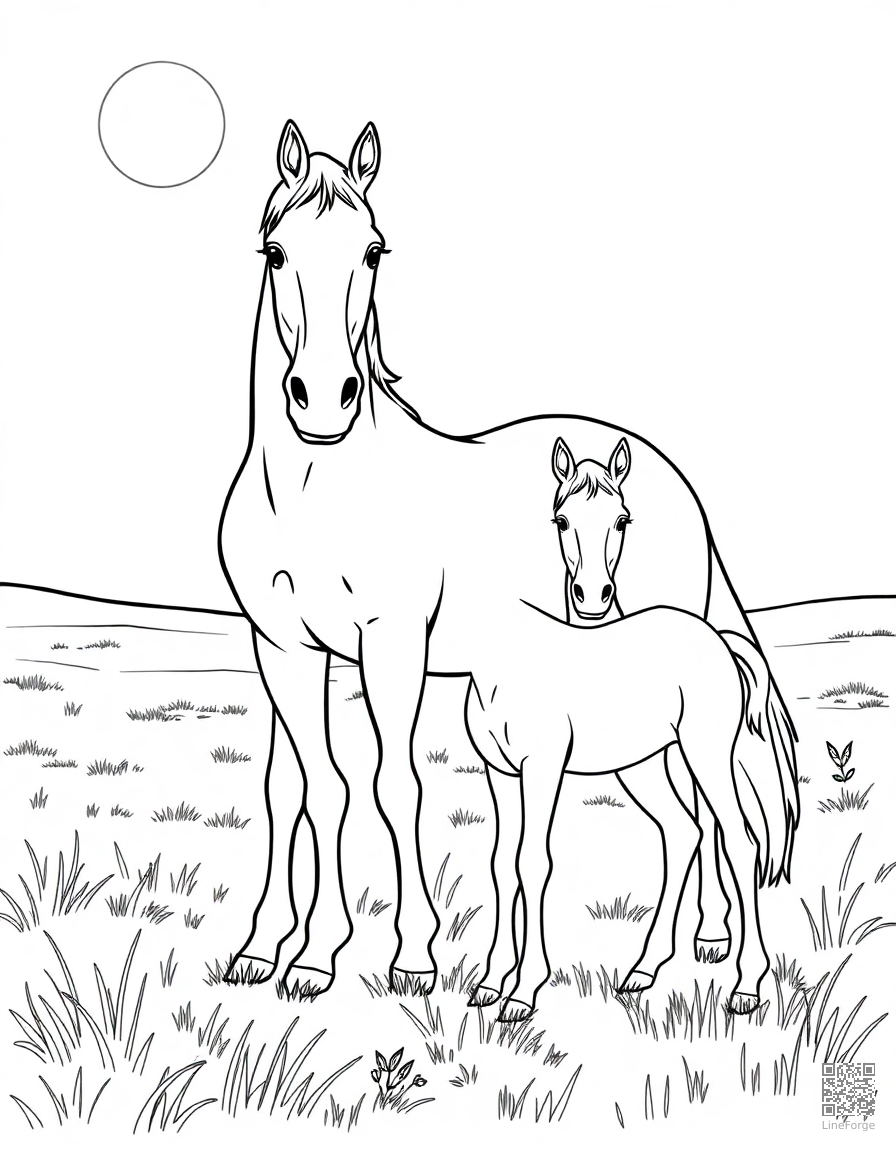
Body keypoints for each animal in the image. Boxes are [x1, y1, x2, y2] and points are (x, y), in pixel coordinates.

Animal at [465, 438, 798, 1022]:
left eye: (622, 520)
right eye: (562, 520)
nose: (593, 594)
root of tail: (719, 640)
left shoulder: (542, 769)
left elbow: (534, 862)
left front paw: (523, 992)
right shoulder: (499, 773)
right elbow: (502, 865)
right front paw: (488, 984)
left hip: (705, 755)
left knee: (737, 838)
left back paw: (746, 986)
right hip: (644, 765)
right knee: (684, 831)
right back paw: (642, 970)